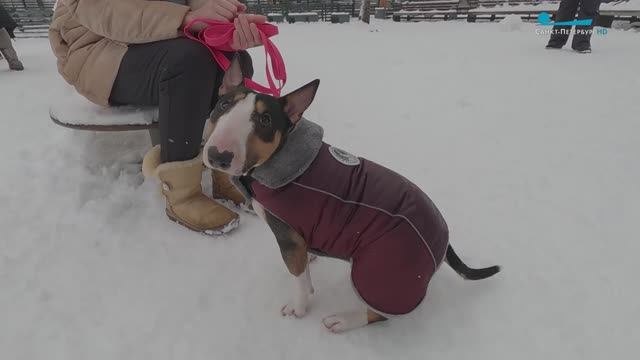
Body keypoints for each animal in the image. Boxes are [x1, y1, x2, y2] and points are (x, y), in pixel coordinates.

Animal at [201, 57, 500, 334]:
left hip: (380, 271)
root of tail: (444, 237)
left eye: (265, 120)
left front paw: (298, 309)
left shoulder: (287, 238)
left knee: (380, 313)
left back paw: (342, 320)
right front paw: (311, 261)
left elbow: (299, 280)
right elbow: (304, 266)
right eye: (224, 105)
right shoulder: (297, 240)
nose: (218, 156)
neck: (280, 159)